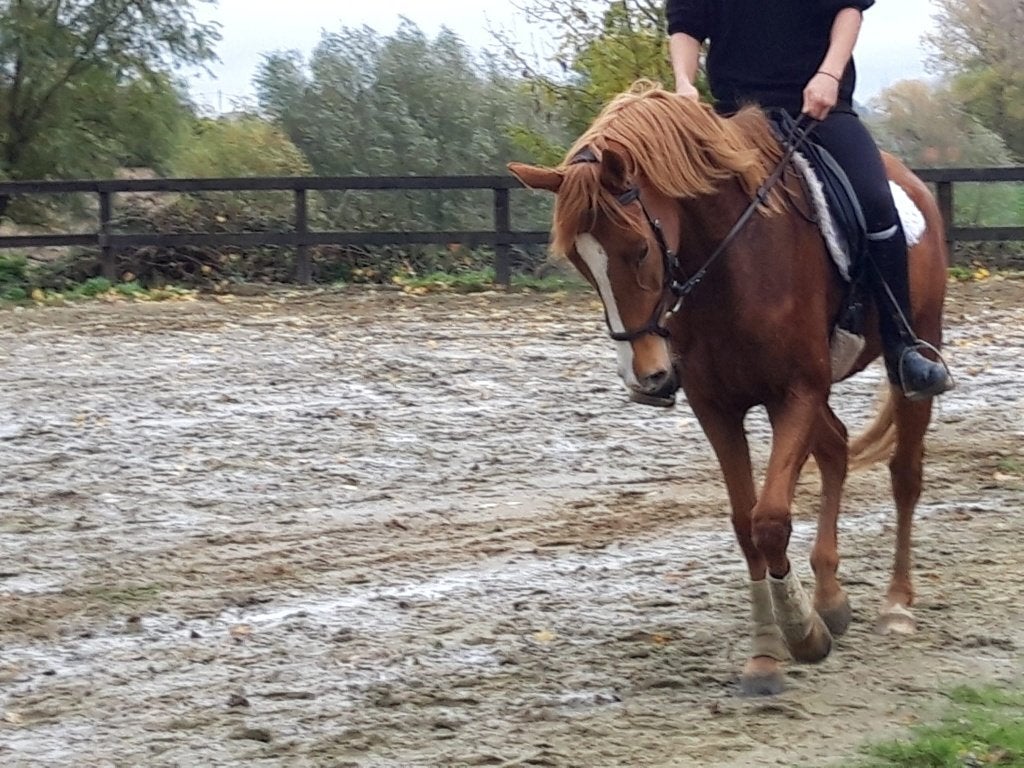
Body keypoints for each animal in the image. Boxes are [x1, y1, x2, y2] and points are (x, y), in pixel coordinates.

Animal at [508, 82, 950, 695]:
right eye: (580, 261)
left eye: (638, 249)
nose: (645, 376)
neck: (732, 265)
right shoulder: (717, 407)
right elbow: (746, 525)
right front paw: (767, 653)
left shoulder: (796, 392)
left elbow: (771, 520)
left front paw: (802, 634)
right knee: (835, 449)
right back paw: (831, 597)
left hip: (912, 353)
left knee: (904, 473)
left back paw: (897, 605)